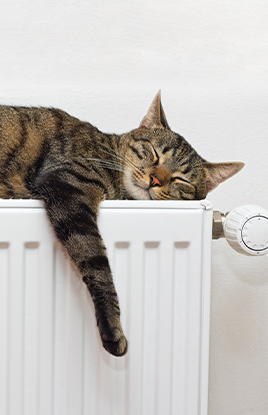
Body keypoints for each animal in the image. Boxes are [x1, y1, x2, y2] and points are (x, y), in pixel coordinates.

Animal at [0, 92, 244, 358]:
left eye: (181, 179)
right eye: (155, 153)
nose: (155, 179)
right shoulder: (69, 187)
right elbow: (98, 267)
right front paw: (112, 327)